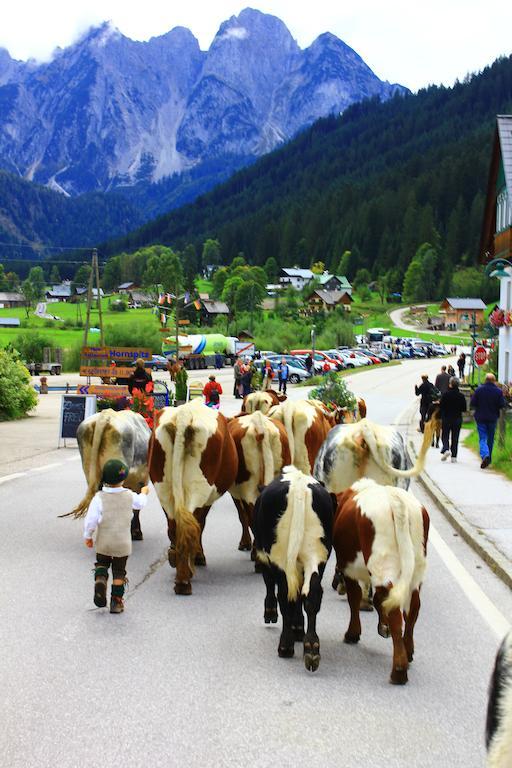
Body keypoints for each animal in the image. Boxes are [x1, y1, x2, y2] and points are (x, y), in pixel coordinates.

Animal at [147, 400, 237, 596]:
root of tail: (184, 414)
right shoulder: (207, 499)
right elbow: (201, 524)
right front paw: (199, 556)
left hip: (163, 488)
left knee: (175, 526)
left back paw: (176, 563)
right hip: (199, 488)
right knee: (189, 526)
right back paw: (184, 581)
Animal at [228, 412, 292, 556]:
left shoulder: (235, 492)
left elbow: (242, 516)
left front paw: (244, 543)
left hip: (247, 487)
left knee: (252, 514)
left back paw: (256, 554)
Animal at [253, 462, 336, 672]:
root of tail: (298, 487)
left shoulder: (262, 555)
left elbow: (272, 586)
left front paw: (271, 613)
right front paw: (299, 628)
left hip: (281, 557)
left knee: (285, 595)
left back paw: (286, 645)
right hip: (317, 555)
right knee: (312, 594)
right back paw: (312, 647)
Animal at [332, 480, 428, 684]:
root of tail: (395, 500)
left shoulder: (349, 569)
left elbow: (355, 598)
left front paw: (353, 633)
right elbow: (377, 600)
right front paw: (382, 626)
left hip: (382, 565)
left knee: (395, 612)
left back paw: (399, 670)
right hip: (416, 570)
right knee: (412, 608)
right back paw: (408, 652)